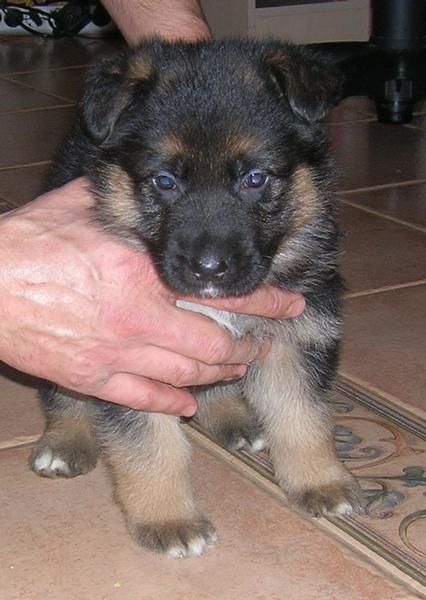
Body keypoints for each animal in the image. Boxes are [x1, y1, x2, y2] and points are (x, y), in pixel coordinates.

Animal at [30, 39, 362, 556]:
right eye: (165, 181)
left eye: (255, 178)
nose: (209, 268)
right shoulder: (131, 354)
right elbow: (151, 448)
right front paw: (169, 519)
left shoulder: (299, 335)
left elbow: (303, 415)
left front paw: (320, 481)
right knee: (64, 387)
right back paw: (66, 439)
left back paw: (233, 416)